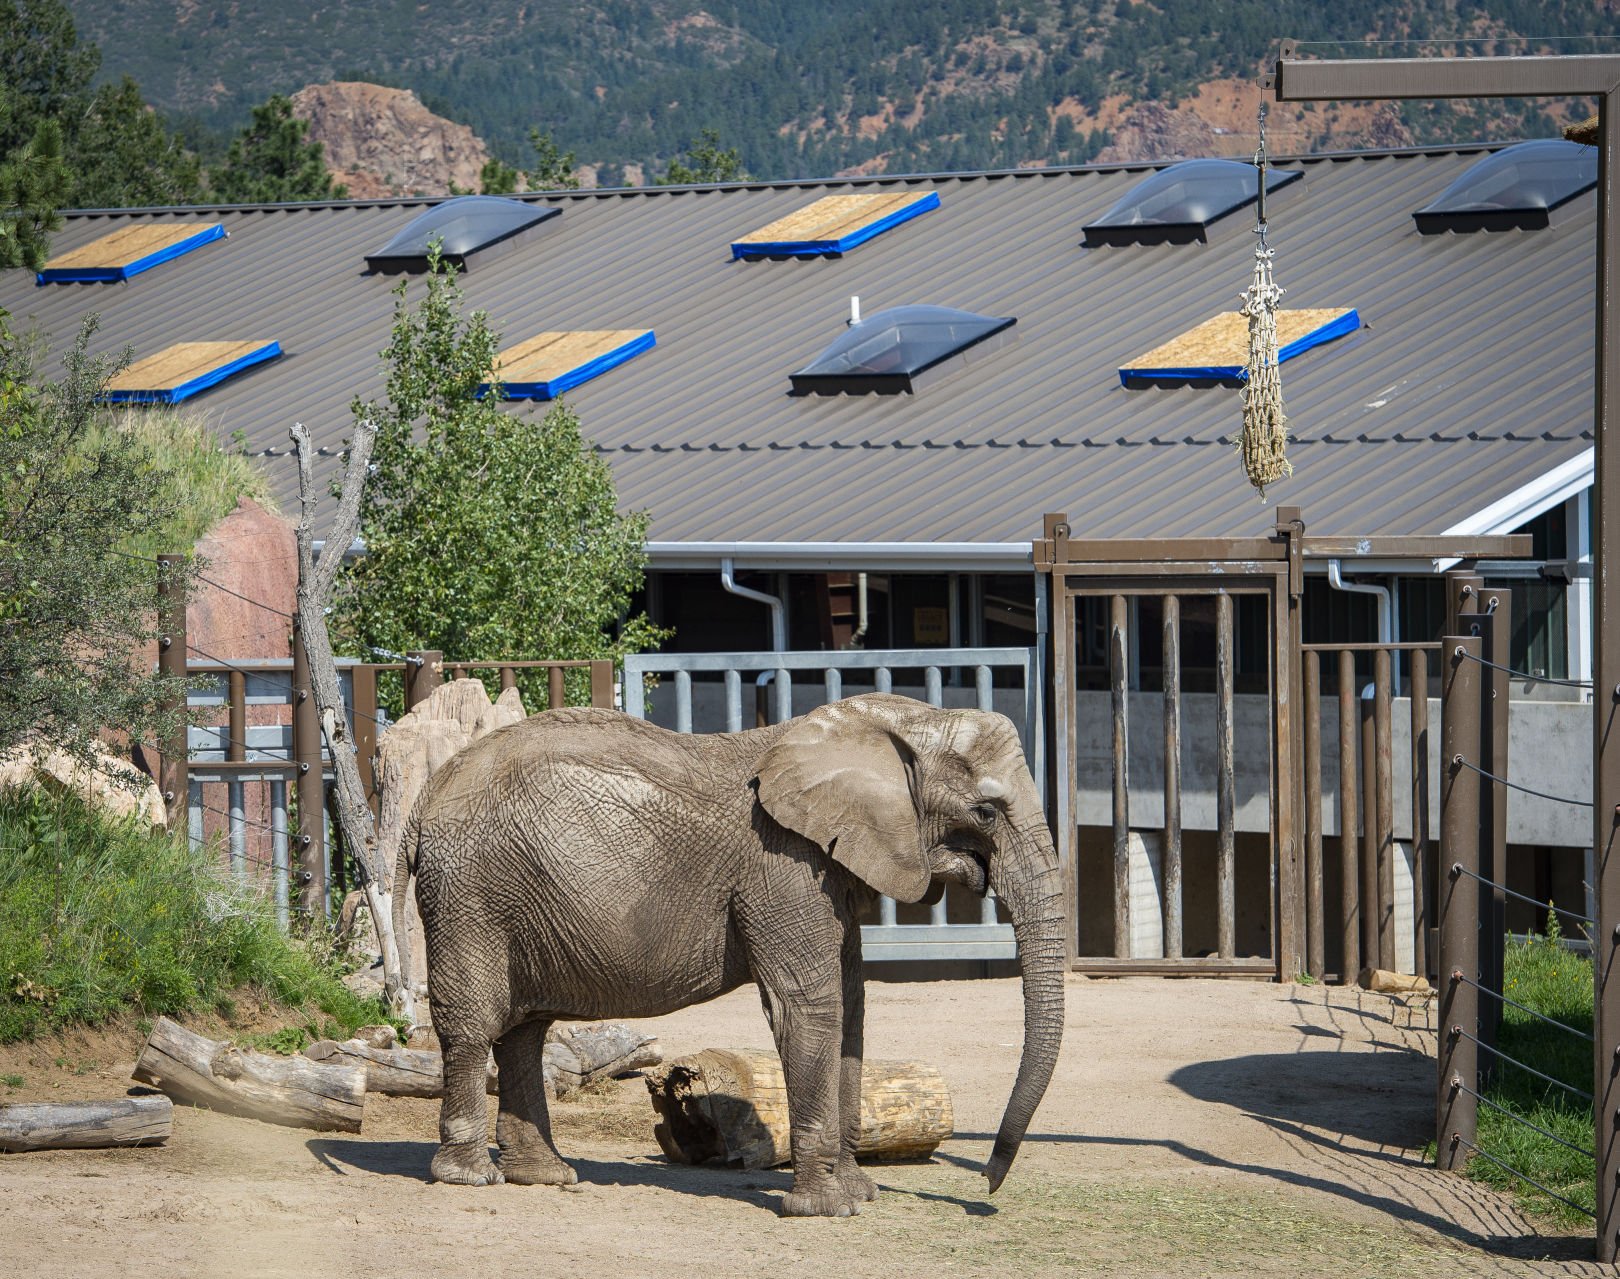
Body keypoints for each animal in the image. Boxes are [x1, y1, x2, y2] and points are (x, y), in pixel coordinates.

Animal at [395, 696, 1062, 1217]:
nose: (986, 1183)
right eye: (985, 811)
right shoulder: (783, 863)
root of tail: (423, 802)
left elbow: (851, 1005)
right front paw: (828, 1208)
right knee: (476, 1021)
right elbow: (808, 1006)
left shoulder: (828, 867)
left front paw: (858, 1193)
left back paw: (545, 1176)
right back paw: (470, 1175)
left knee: (525, 1027)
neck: (884, 725)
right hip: (471, 893)